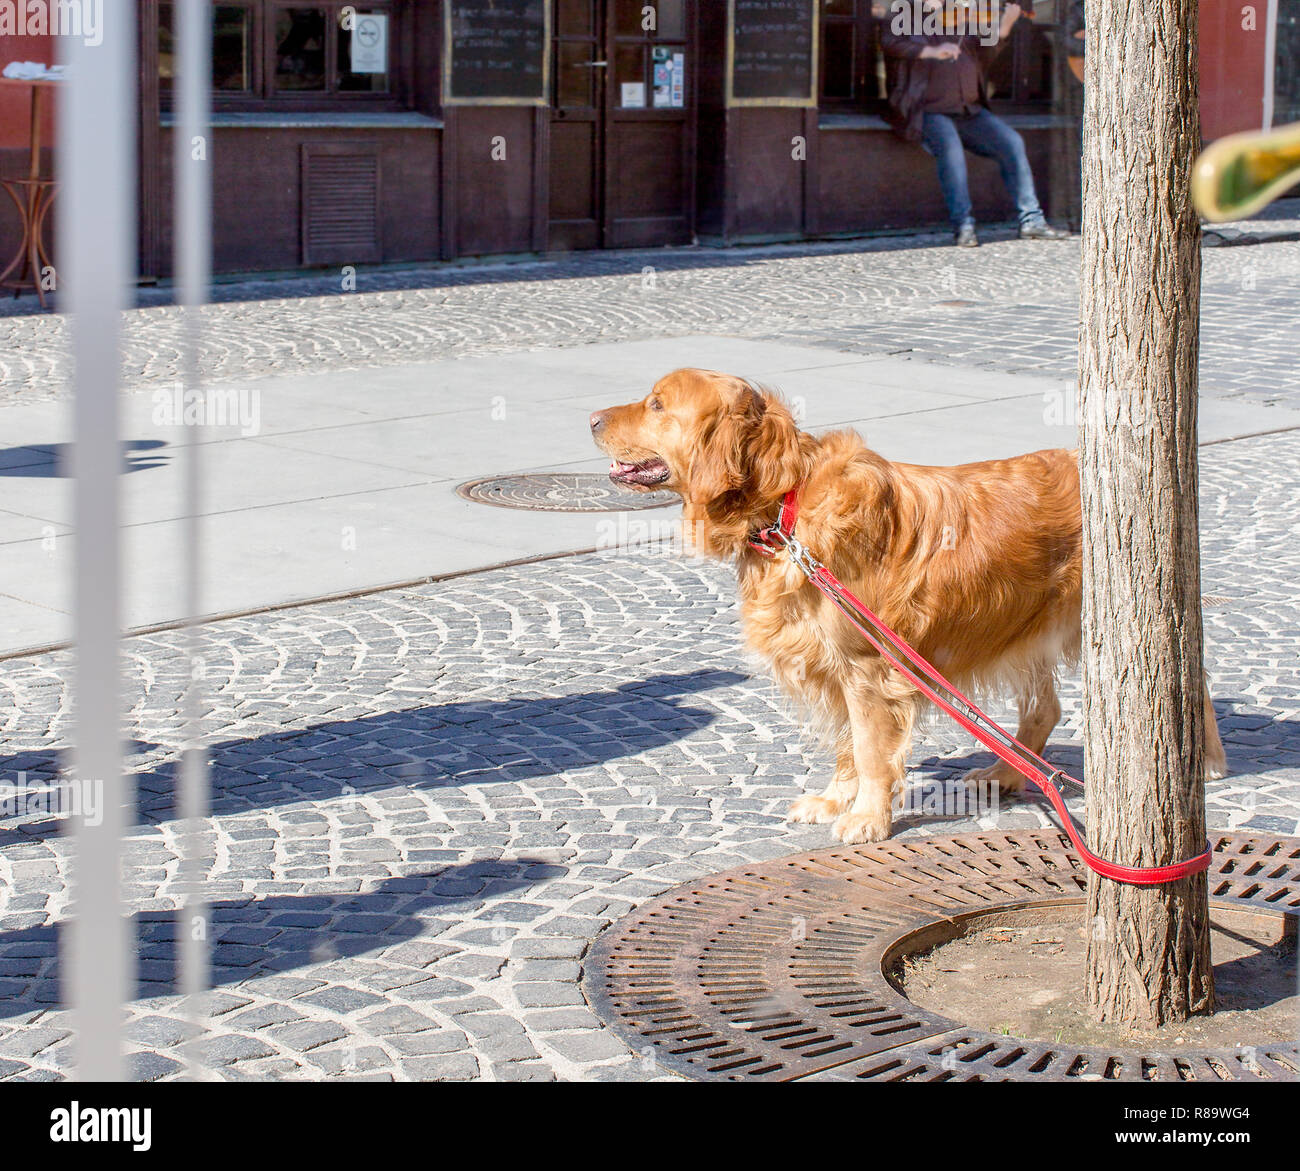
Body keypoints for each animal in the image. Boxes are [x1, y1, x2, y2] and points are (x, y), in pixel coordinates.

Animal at [595, 366, 1222, 842]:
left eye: (656, 404)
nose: (593, 419)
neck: (787, 507)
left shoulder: (871, 668)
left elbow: (872, 752)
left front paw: (868, 818)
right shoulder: (837, 669)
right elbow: (849, 747)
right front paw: (836, 799)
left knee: (1192, 684)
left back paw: (1208, 760)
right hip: (1023, 626)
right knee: (1044, 710)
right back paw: (1003, 774)